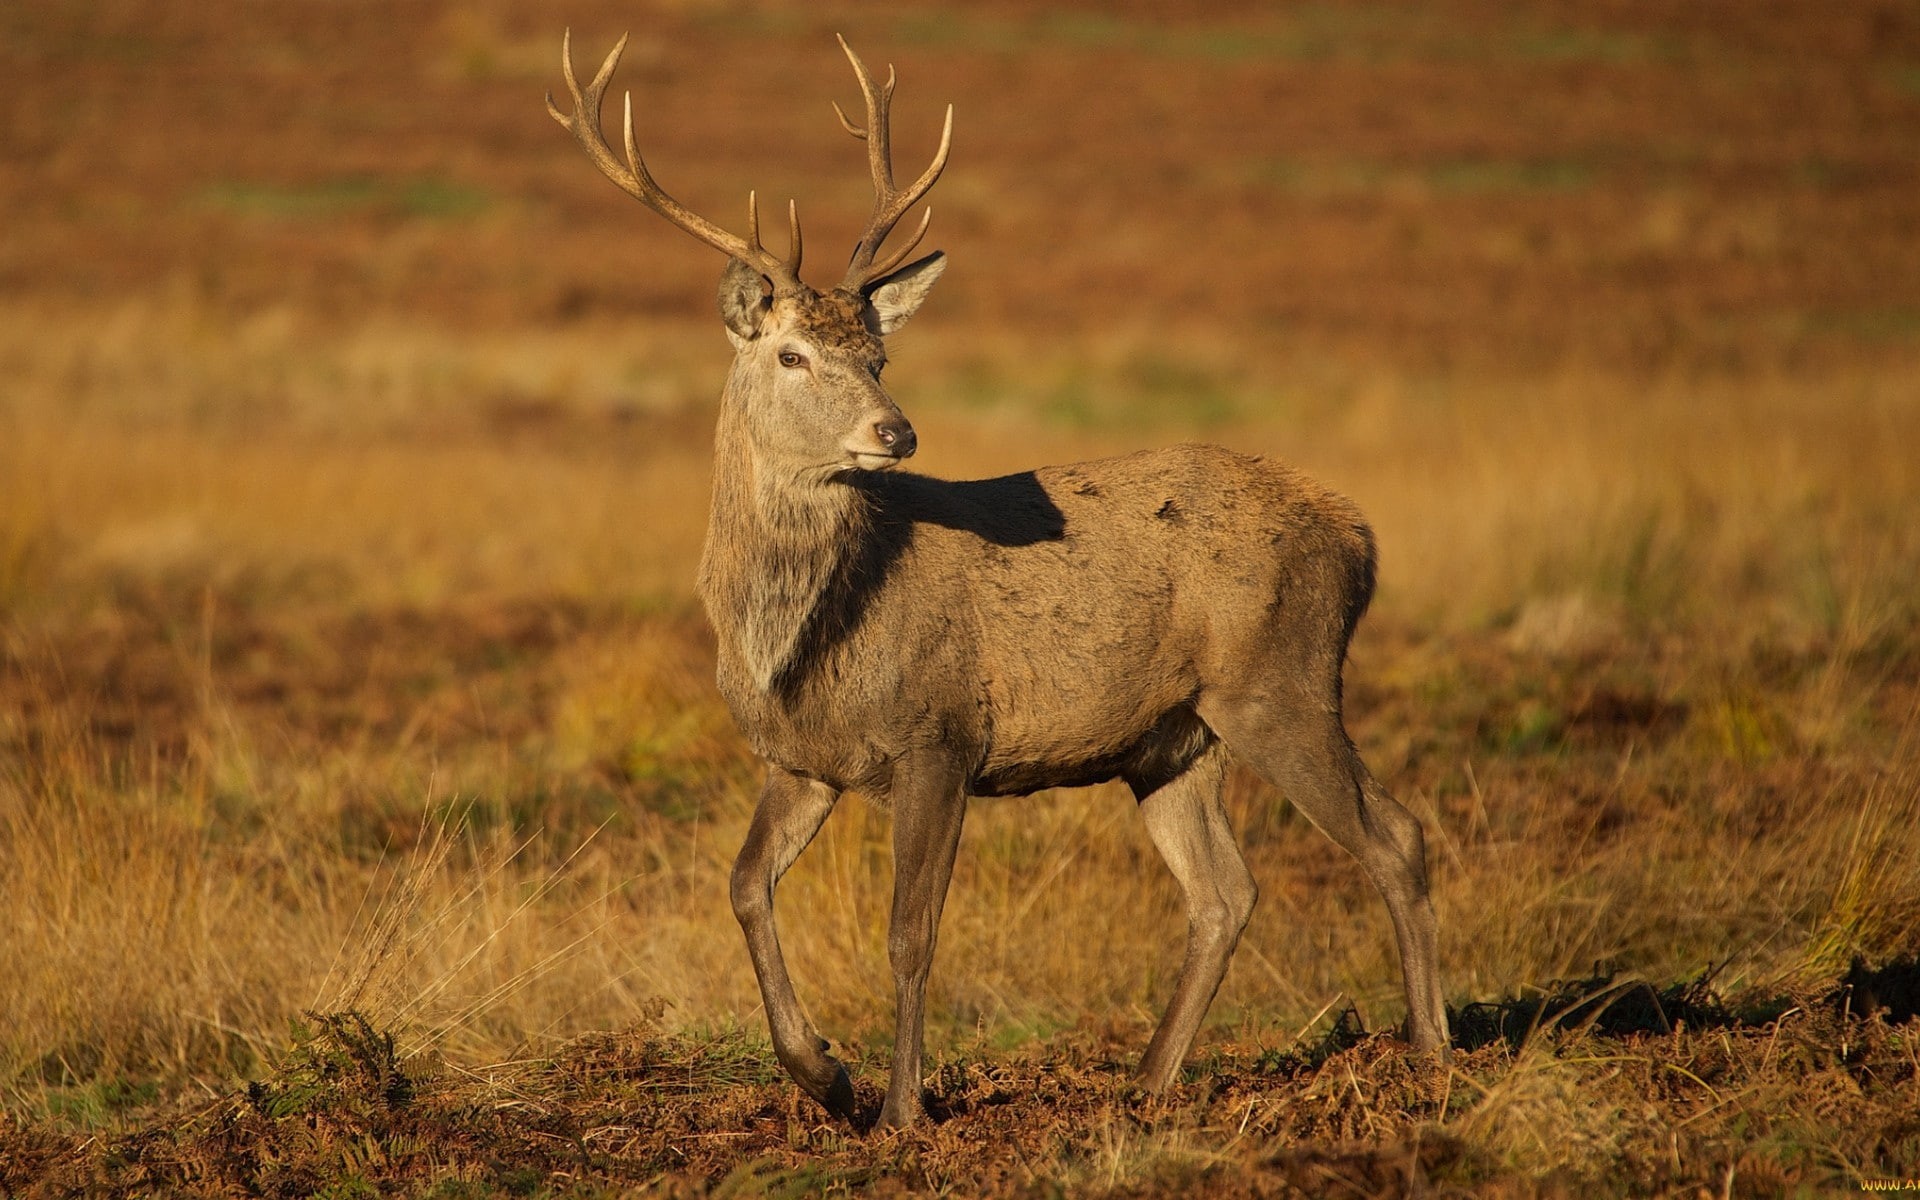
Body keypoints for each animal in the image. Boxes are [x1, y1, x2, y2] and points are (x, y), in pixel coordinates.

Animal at [548, 31, 1449, 1129]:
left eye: (880, 352)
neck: (802, 638)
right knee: (1225, 891)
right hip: (1173, 738)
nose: (896, 431)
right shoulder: (801, 760)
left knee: (1395, 837)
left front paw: (901, 1112)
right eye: (794, 353)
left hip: (1281, 681)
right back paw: (1144, 1087)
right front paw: (824, 1075)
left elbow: (910, 933)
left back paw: (1434, 1060)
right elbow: (744, 885)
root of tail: (1360, 535)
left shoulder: (939, 733)